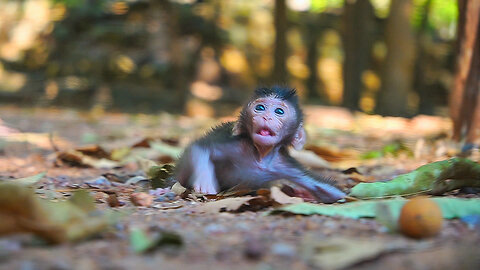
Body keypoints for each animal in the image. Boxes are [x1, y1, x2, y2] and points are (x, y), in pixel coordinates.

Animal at [175, 86, 344, 202]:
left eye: (279, 111)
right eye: (260, 108)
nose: (266, 117)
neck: (261, 155)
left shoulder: (286, 167)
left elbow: (325, 189)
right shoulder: (237, 146)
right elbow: (200, 149)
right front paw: (204, 181)